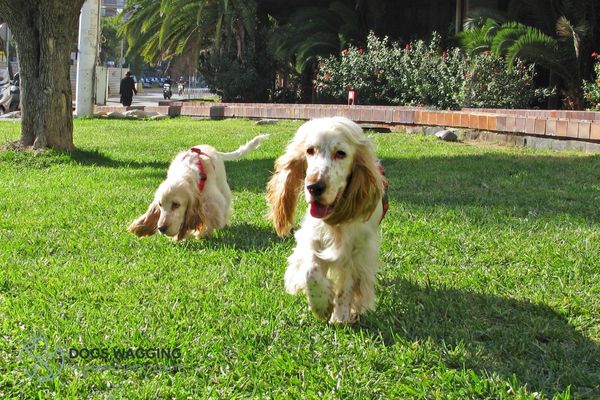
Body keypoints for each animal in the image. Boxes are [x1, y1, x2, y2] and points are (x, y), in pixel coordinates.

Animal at [130, 134, 268, 241]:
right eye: (160, 205)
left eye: (176, 204)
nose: (161, 228)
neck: (185, 172)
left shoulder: (210, 200)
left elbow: (209, 218)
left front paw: (201, 233)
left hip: (223, 187)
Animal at [268, 117, 390, 324]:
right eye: (310, 150)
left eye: (341, 153)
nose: (314, 187)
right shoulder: (314, 237)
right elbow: (310, 271)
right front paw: (321, 306)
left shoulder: (356, 250)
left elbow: (346, 285)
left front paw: (340, 315)